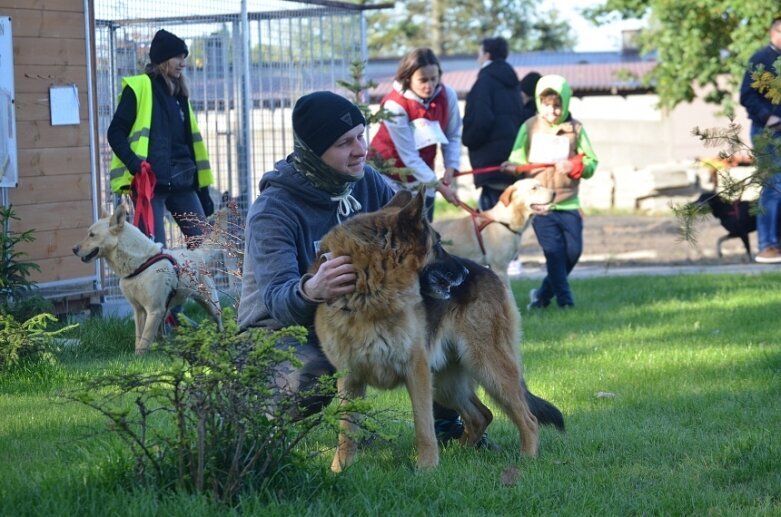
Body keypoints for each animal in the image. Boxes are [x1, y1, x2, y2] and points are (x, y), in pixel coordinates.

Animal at [72, 204, 222, 352]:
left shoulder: (154, 310)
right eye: (88, 233)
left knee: (219, 322)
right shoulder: (139, 310)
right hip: (166, 310)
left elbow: (144, 339)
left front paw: (139, 355)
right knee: (162, 332)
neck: (140, 263)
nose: (73, 249)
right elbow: (139, 337)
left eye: (92, 235)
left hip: (210, 304)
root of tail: (197, 254)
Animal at [314, 189, 564, 472]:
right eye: (437, 245)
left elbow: (423, 426)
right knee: (481, 415)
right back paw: (461, 453)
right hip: (446, 382)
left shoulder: (417, 372)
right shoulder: (350, 380)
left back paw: (527, 459)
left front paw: (426, 469)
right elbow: (346, 431)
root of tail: (489, 273)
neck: (370, 298)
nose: (464, 272)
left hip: (487, 367)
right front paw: (339, 471)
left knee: (527, 418)